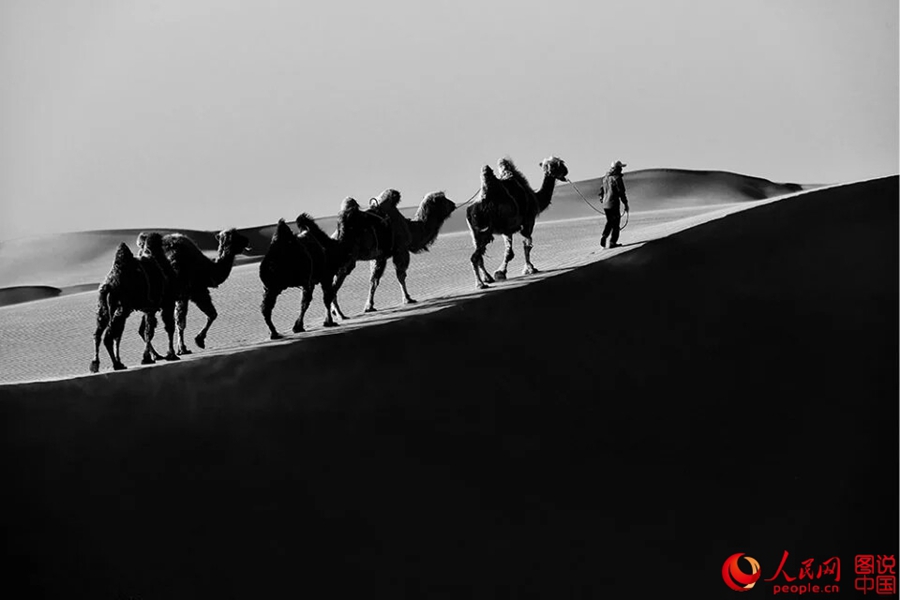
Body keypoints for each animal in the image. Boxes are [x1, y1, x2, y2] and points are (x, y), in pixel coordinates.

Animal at [89, 232, 178, 372]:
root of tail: (109, 284)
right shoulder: (167, 303)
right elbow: (164, 328)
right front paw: (169, 355)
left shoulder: (149, 308)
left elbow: (146, 331)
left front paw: (152, 357)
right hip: (123, 306)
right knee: (111, 335)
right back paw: (117, 364)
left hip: (104, 307)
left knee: (100, 334)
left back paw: (98, 364)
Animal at [468, 156, 568, 290]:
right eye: (558, 164)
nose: (566, 170)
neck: (536, 198)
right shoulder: (528, 222)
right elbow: (527, 246)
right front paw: (529, 269)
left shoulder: (507, 230)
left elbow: (509, 253)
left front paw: (500, 273)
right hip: (485, 231)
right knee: (475, 257)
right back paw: (480, 284)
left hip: (476, 233)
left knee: (479, 255)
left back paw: (487, 278)